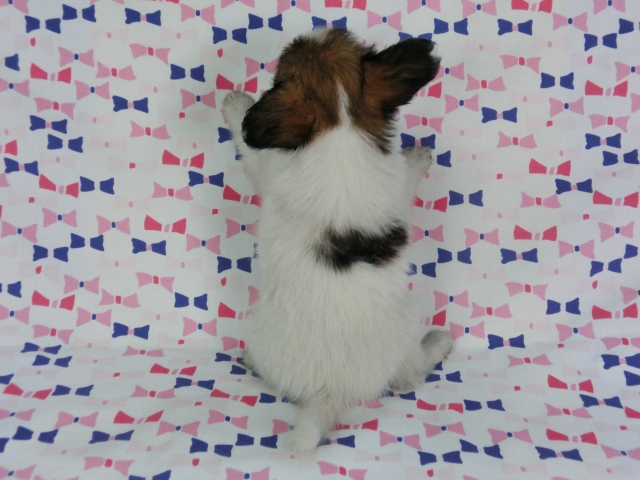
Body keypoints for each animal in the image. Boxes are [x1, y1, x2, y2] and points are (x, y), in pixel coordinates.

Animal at [222, 28, 453, 453]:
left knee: (412, 373)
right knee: (408, 375)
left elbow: (248, 148)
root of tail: (329, 391)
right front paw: (419, 158)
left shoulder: (267, 168)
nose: (302, 34)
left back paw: (437, 344)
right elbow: (407, 179)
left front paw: (233, 102)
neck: (340, 121)